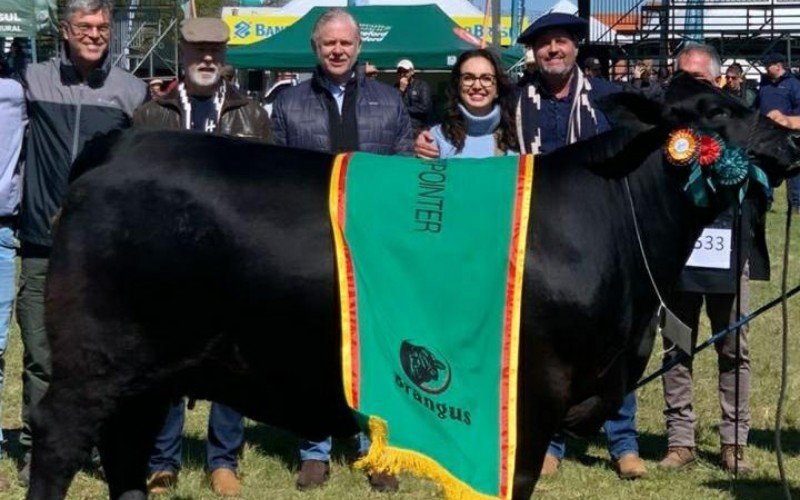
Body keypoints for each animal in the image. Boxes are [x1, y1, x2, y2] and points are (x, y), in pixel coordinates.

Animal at [26, 75, 800, 500]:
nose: (789, 142)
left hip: (147, 373)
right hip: (92, 365)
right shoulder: (528, 398)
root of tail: (124, 144)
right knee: (58, 443)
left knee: (125, 456)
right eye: (711, 111)